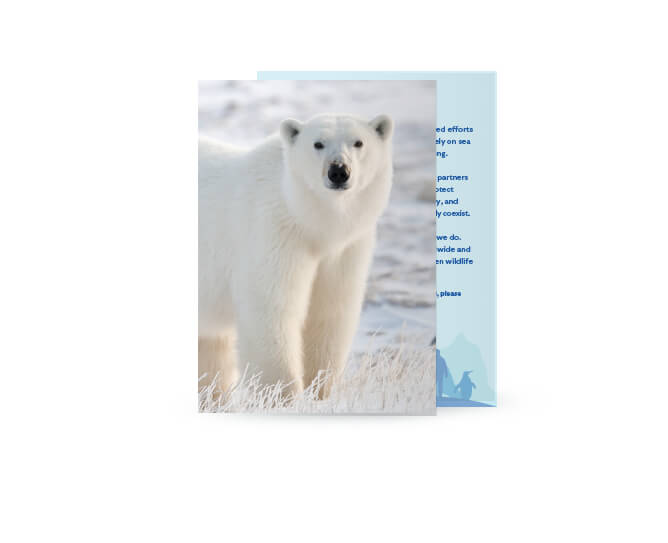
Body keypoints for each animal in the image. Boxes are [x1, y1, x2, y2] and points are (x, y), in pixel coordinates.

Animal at [198, 113, 394, 398]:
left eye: (358, 142)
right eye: (318, 143)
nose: (338, 171)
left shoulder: (345, 249)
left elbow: (329, 313)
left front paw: (321, 391)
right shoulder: (274, 234)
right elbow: (272, 310)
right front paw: (283, 396)